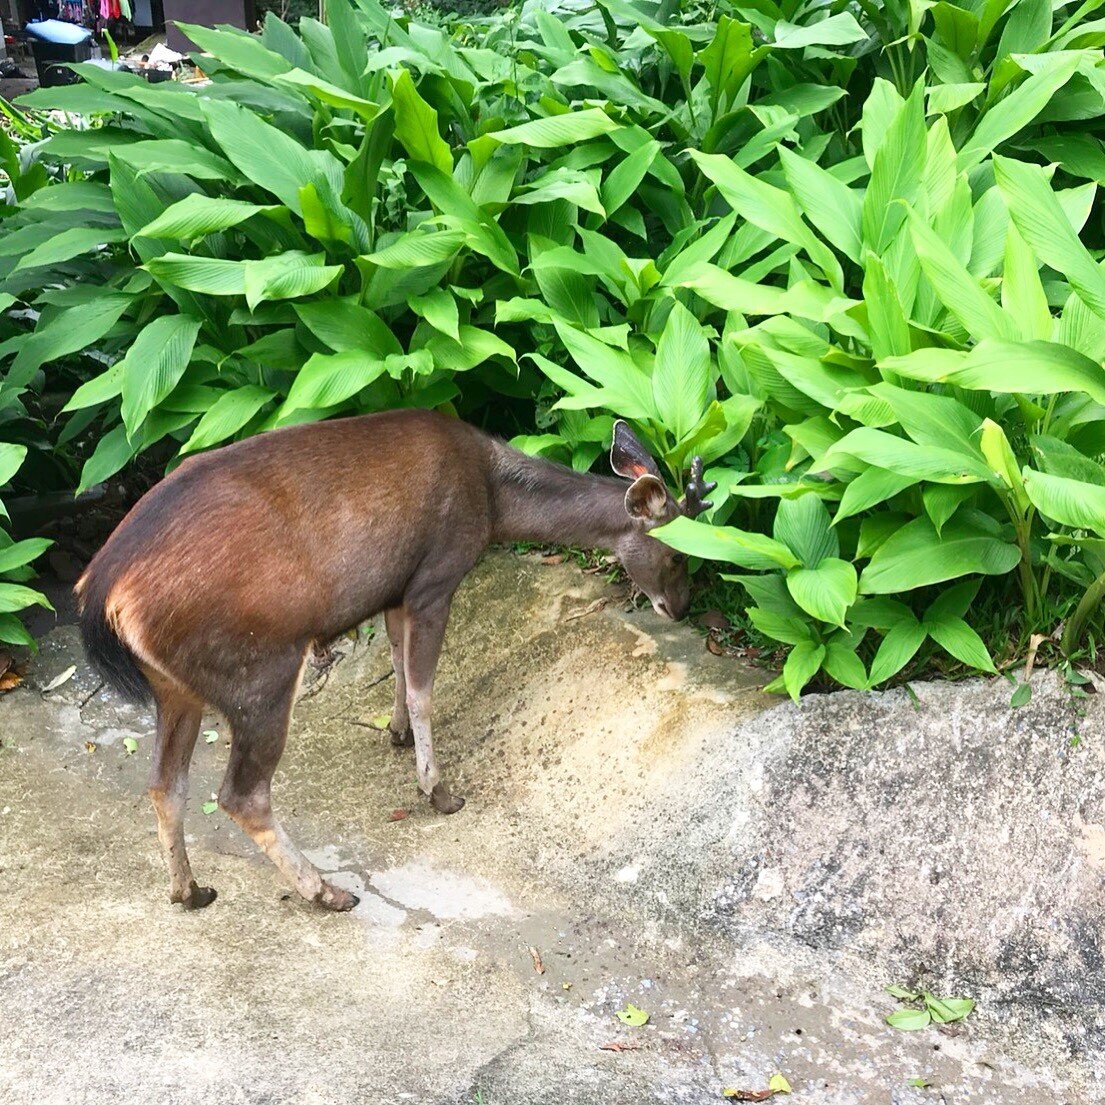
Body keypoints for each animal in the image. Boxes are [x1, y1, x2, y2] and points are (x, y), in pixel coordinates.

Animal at [77, 411, 716, 910]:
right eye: (678, 555)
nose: (682, 607)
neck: (492, 498)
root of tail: (105, 591)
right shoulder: (436, 575)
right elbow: (423, 685)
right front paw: (438, 789)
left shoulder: (392, 589)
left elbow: (393, 653)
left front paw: (397, 732)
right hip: (257, 664)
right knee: (240, 793)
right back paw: (327, 892)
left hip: (175, 683)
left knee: (165, 784)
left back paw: (190, 891)